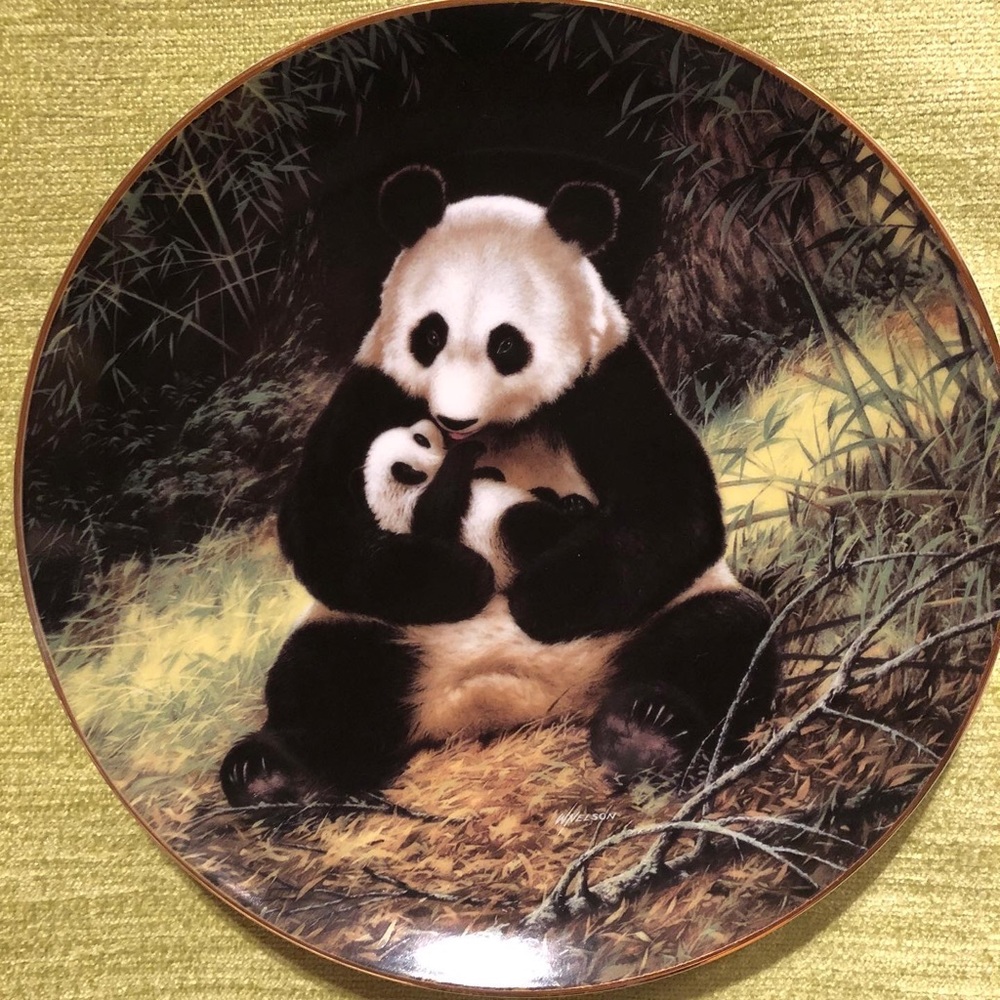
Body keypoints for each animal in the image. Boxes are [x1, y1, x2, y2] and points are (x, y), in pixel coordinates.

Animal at [220, 166, 778, 806]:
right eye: (430, 335)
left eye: (506, 344)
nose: (453, 419)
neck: (496, 427)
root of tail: (506, 697)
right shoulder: (374, 388)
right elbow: (320, 523)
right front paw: (463, 578)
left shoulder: (608, 378)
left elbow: (673, 507)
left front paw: (535, 599)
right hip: (380, 630)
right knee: (321, 673)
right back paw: (272, 771)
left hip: (654, 614)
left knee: (719, 636)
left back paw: (645, 731)